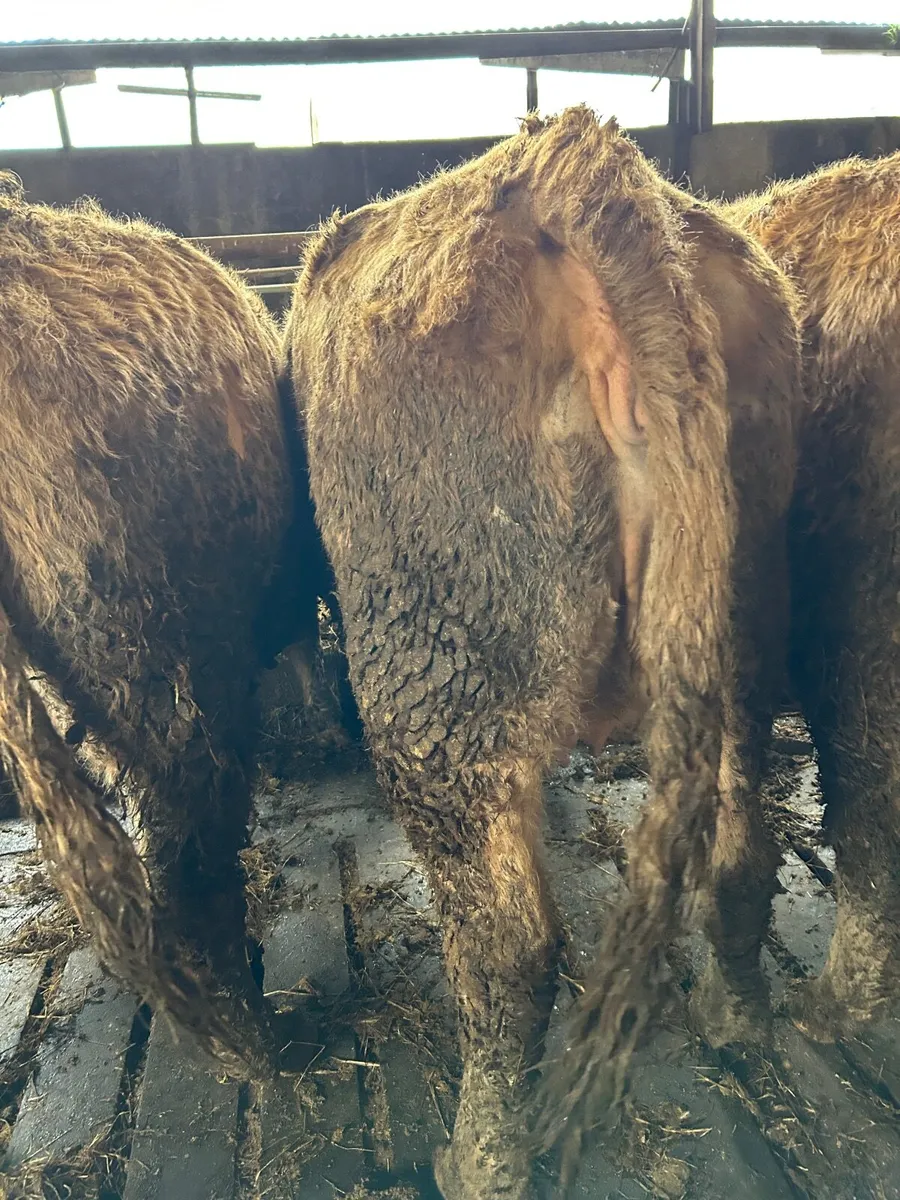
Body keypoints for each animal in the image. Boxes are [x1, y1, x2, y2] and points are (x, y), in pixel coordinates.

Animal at [287, 107, 802, 1196]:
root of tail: (569, 153)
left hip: (438, 681)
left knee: (509, 948)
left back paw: (482, 1156)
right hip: (746, 621)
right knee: (743, 847)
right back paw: (737, 1017)